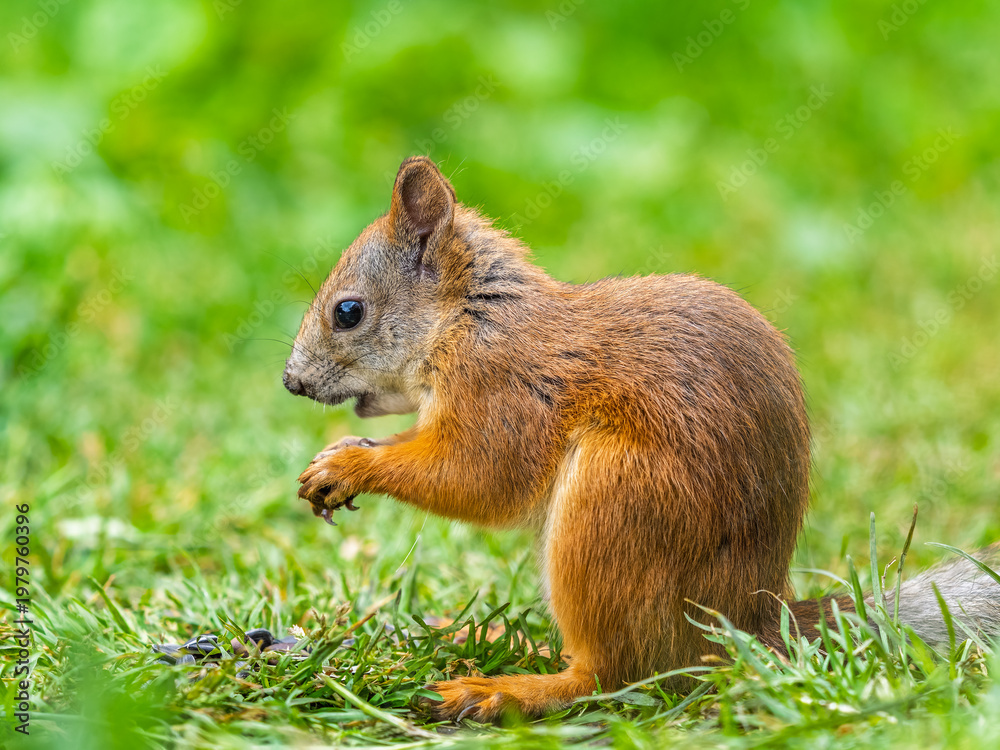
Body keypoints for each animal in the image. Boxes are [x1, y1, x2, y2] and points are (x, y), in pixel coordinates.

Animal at [283, 156, 1000, 722]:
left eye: (348, 312)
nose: (291, 381)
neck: (470, 318)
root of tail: (743, 625)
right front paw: (337, 458)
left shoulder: (502, 389)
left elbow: (480, 477)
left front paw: (350, 467)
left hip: (614, 507)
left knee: (613, 674)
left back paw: (509, 690)